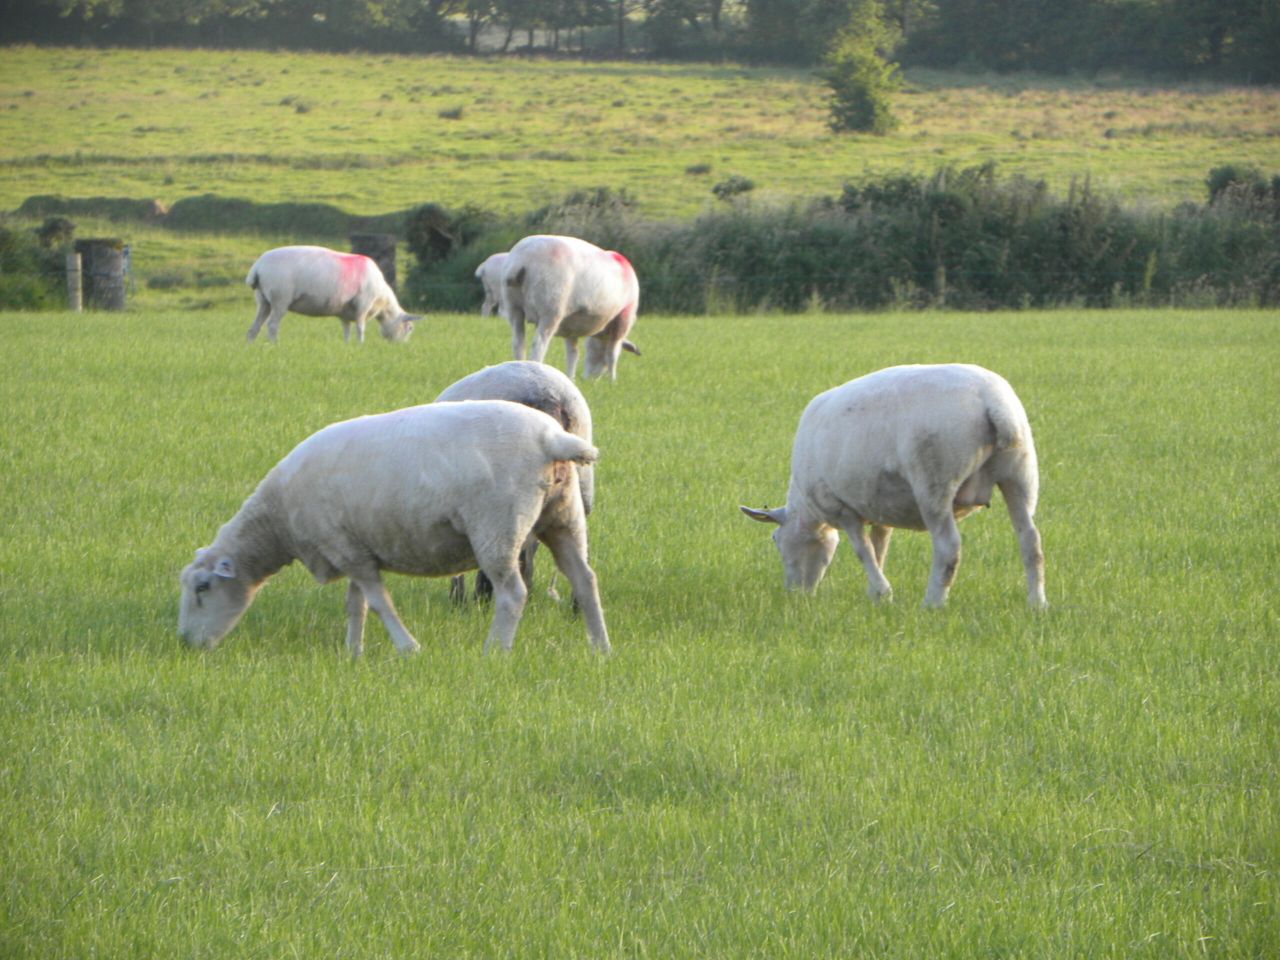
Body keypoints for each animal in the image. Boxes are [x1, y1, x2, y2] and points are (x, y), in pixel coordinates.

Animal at [178, 400, 610, 656]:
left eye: (203, 588)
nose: (185, 644)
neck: (277, 519)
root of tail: (551, 438)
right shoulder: (351, 547)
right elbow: (356, 604)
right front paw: (353, 652)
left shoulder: (347, 549)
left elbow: (379, 601)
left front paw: (407, 647)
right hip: (563, 516)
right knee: (585, 579)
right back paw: (600, 648)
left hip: (497, 525)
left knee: (512, 593)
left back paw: (494, 652)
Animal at [245, 245, 418, 343]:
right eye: (409, 328)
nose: (402, 346)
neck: (381, 301)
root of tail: (258, 266)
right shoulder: (363, 305)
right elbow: (360, 329)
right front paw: (360, 345)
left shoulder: (345, 312)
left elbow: (347, 330)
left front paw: (347, 346)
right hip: (280, 298)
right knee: (272, 325)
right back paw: (274, 344)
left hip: (263, 299)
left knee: (255, 327)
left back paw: (250, 345)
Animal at [501, 234, 641, 381]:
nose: (588, 379)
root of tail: (522, 260)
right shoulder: (623, 317)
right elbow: (612, 354)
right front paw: (612, 381)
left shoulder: (572, 327)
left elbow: (573, 354)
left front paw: (570, 377)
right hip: (551, 309)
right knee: (538, 345)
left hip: (514, 307)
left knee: (518, 343)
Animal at [741, 363, 1046, 608]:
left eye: (775, 539)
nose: (795, 594)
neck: (807, 509)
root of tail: (992, 403)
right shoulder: (880, 508)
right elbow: (879, 547)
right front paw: (874, 595)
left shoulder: (842, 508)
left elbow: (862, 550)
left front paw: (882, 592)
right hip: (1020, 473)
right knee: (1030, 541)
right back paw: (1037, 603)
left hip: (934, 481)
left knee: (948, 547)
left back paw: (932, 603)